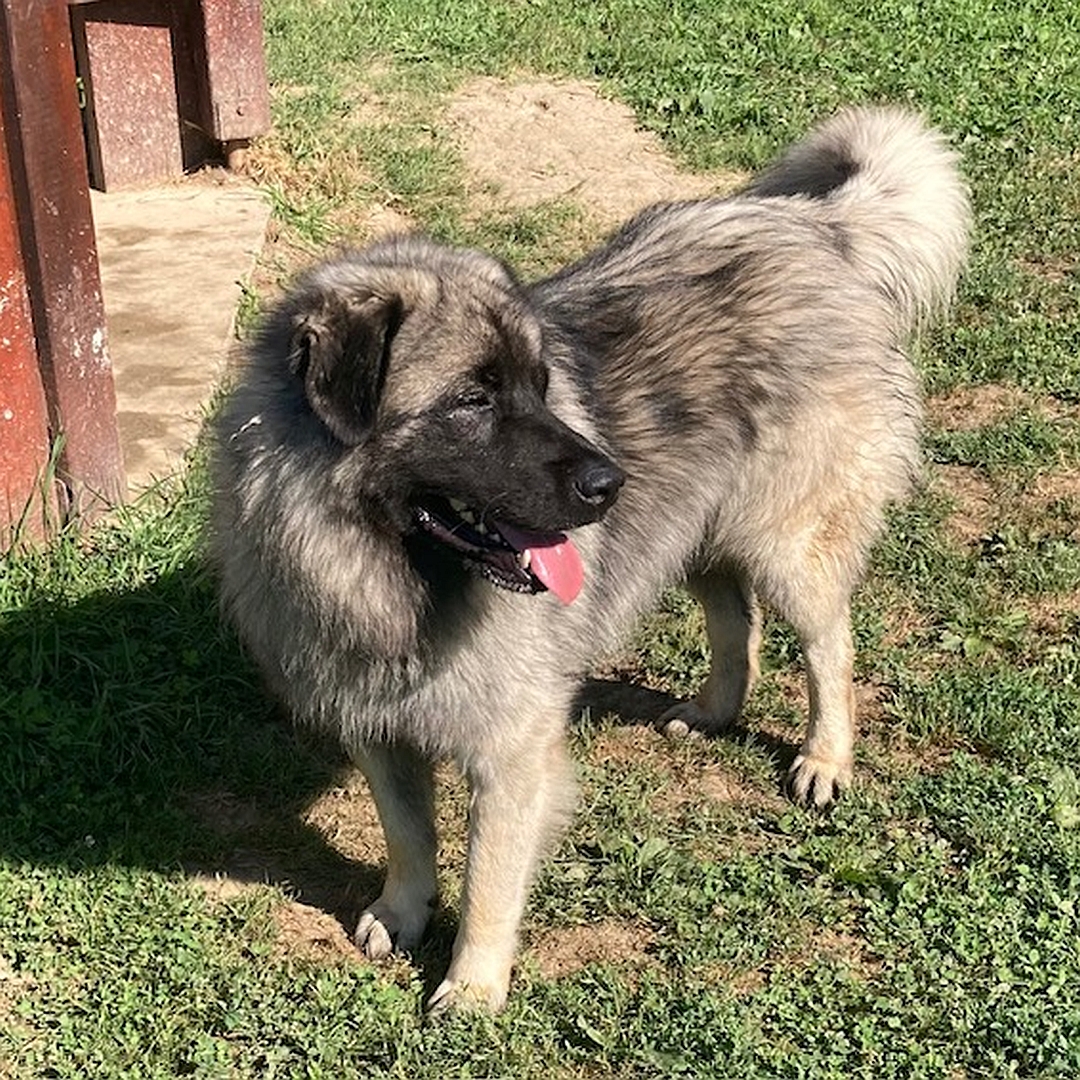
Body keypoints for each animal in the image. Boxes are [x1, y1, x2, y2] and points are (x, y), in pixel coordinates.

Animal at [212, 107, 972, 1010]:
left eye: (540, 387)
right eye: (473, 400)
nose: (611, 482)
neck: (389, 572)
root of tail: (816, 226)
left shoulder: (510, 752)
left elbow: (488, 878)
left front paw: (473, 986)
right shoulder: (376, 727)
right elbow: (408, 836)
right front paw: (403, 910)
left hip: (787, 545)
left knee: (828, 644)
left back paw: (825, 758)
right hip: (697, 526)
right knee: (735, 618)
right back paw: (714, 710)